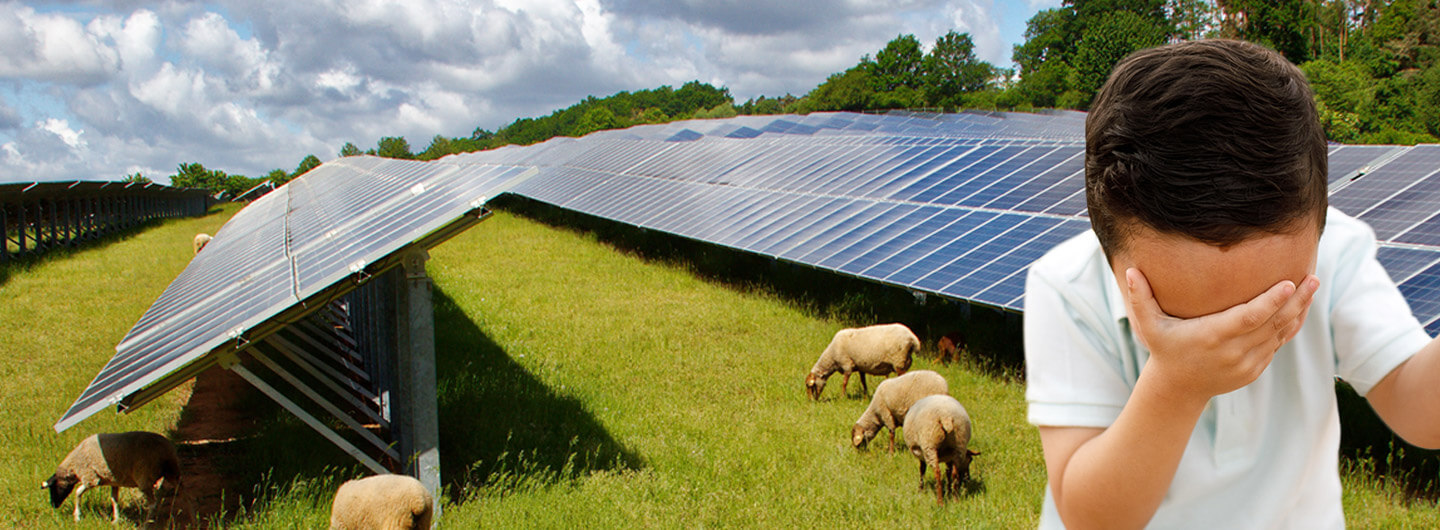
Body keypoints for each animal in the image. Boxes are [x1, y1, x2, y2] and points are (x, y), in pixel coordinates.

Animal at [40, 432, 181, 524]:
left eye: (53, 488)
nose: (53, 505)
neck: (73, 465)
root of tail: (166, 448)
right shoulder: (114, 480)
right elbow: (114, 499)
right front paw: (116, 519)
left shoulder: (91, 478)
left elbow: (78, 492)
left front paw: (77, 517)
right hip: (171, 469)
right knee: (179, 489)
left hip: (144, 476)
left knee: (153, 503)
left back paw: (148, 522)